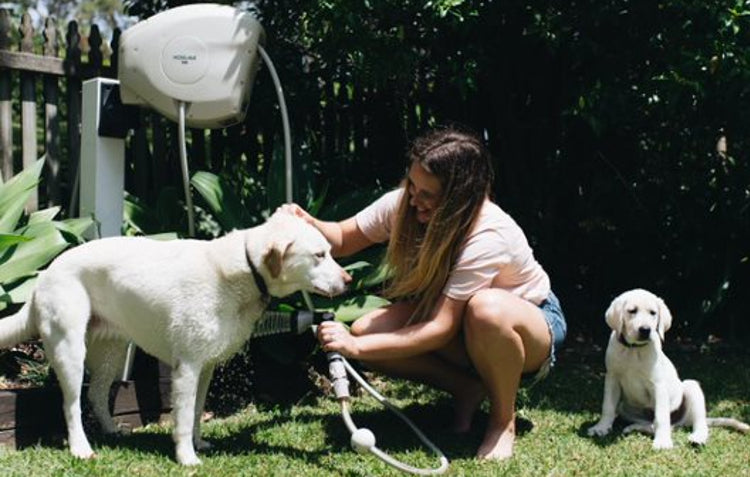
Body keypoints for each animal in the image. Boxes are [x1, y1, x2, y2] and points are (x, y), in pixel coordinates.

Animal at [0, 209, 352, 464]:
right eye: (319, 255)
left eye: (330, 251)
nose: (349, 281)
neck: (241, 271)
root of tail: (43, 276)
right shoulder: (187, 367)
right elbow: (182, 416)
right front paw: (186, 458)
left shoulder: (206, 368)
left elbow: (196, 412)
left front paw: (198, 443)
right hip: (70, 351)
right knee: (71, 404)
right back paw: (81, 449)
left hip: (113, 353)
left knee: (96, 395)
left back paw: (112, 431)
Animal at [592, 288, 748, 448]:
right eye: (632, 311)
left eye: (653, 313)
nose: (645, 330)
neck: (634, 350)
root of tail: (682, 421)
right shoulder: (612, 378)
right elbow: (608, 406)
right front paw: (601, 427)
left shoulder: (658, 385)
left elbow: (661, 416)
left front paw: (662, 441)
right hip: (625, 407)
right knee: (652, 425)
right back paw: (633, 427)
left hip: (691, 388)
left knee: (696, 423)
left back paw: (697, 437)